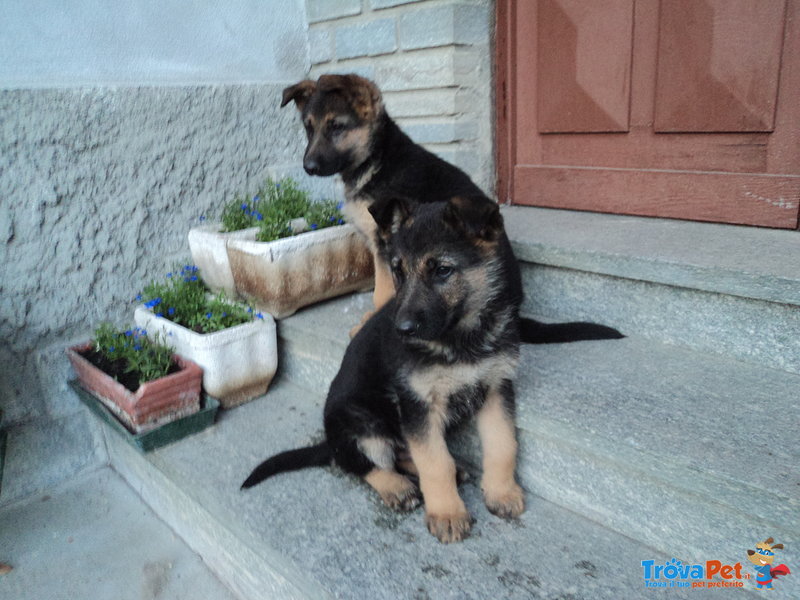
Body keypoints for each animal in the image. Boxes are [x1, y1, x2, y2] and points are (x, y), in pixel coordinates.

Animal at [244, 197, 532, 544]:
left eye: (443, 270)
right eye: (398, 271)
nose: (402, 329)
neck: (461, 338)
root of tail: (330, 441)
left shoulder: (496, 386)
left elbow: (503, 444)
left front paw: (502, 493)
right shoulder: (417, 403)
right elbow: (435, 463)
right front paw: (447, 513)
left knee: (403, 453)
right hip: (360, 424)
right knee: (359, 463)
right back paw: (396, 487)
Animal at [278, 74, 620, 344]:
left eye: (336, 126)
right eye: (308, 128)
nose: (308, 167)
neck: (377, 158)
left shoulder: (385, 244)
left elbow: (382, 291)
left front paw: (369, 322)